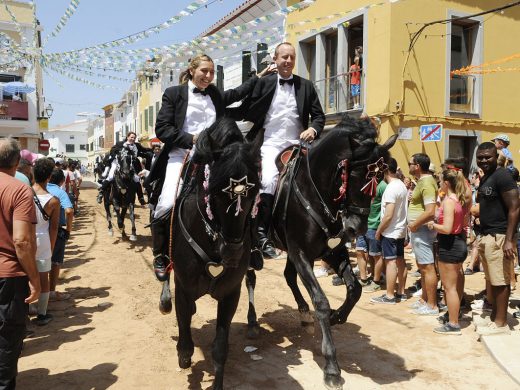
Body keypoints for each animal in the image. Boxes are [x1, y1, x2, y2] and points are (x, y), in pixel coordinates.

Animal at [158, 118, 262, 390]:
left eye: (254, 193)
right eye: (215, 193)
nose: (233, 253)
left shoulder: (230, 294)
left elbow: (220, 348)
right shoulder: (183, 289)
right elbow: (185, 339)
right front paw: (184, 357)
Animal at [246, 116, 396, 390]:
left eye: (379, 177)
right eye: (354, 175)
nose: (356, 229)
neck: (313, 191)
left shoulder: (330, 251)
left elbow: (354, 289)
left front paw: (338, 316)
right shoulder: (301, 253)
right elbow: (321, 301)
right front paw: (331, 367)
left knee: (288, 277)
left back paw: (304, 313)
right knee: (249, 278)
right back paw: (252, 322)